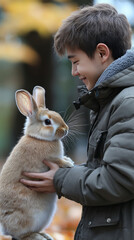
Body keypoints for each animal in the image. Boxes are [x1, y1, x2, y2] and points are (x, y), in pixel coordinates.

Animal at [0, 86, 74, 240]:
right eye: (47, 122)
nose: (65, 130)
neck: (39, 139)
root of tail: (4, 227)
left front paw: (68, 160)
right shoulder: (48, 158)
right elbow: (56, 160)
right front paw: (68, 164)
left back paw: (44, 234)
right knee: (21, 235)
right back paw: (37, 236)